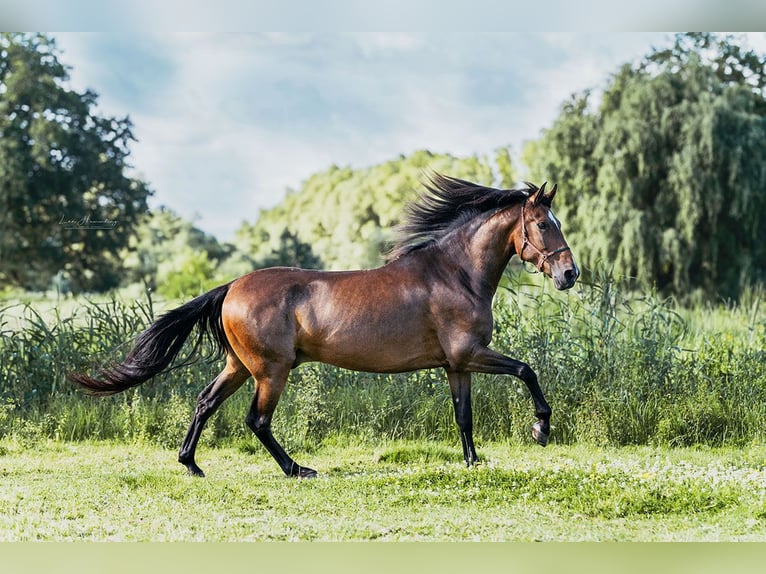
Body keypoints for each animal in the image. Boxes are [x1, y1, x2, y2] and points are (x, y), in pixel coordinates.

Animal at [70, 173, 584, 480]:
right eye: (543, 224)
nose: (569, 274)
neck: (454, 273)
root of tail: (232, 286)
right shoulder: (471, 355)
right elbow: (527, 370)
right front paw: (541, 429)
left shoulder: (455, 365)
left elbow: (464, 416)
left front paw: (474, 462)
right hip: (271, 370)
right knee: (257, 420)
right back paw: (297, 469)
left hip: (239, 365)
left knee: (205, 403)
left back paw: (191, 465)